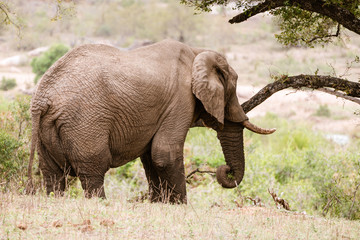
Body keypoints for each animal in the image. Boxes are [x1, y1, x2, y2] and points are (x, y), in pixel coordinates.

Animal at [26, 39, 274, 202]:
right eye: (232, 89)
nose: (226, 170)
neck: (197, 52)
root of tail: (43, 98)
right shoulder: (180, 99)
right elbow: (165, 153)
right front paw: (180, 207)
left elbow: (150, 158)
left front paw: (159, 204)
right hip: (85, 121)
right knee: (93, 170)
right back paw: (100, 203)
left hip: (46, 129)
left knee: (52, 174)